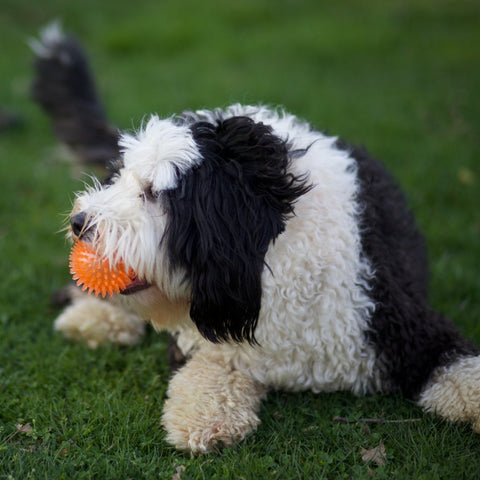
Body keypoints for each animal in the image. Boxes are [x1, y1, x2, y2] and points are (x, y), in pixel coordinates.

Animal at [32, 24, 480, 452]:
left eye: (154, 192)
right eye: (120, 179)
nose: (79, 221)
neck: (269, 269)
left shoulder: (399, 321)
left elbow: (458, 366)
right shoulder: (219, 338)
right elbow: (213, 367)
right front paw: (201, 418)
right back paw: (94, 317)